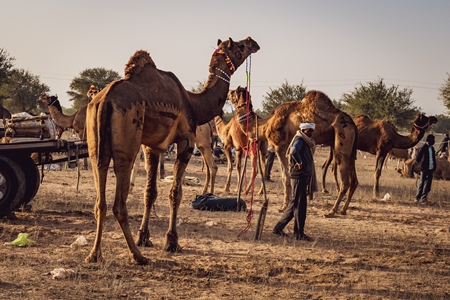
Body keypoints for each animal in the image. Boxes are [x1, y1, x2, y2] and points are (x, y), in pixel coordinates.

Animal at [85, 37, 260, 264]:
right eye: (239, 47)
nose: (252, 42)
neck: (195, 103)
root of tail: (104, 100)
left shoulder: (152, 147)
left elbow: (150, 192)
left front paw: (145, 237)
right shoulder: (186, 141)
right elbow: (176, 192)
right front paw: (172, 242)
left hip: (96, 146)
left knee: (100, 198)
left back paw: (95, 254)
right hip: (127, 144)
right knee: (119, 203)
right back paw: (137, 256)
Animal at [229, 85, 358, 217]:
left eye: (233, 93)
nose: (228, 92)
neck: (265, 125)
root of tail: (352, 124)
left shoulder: (280, 146)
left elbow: (285, 177)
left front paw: (283, 206)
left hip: (342, 139)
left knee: (345, 181)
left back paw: (332, 211)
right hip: (351, 149)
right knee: (354, 181)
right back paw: (343, 210)